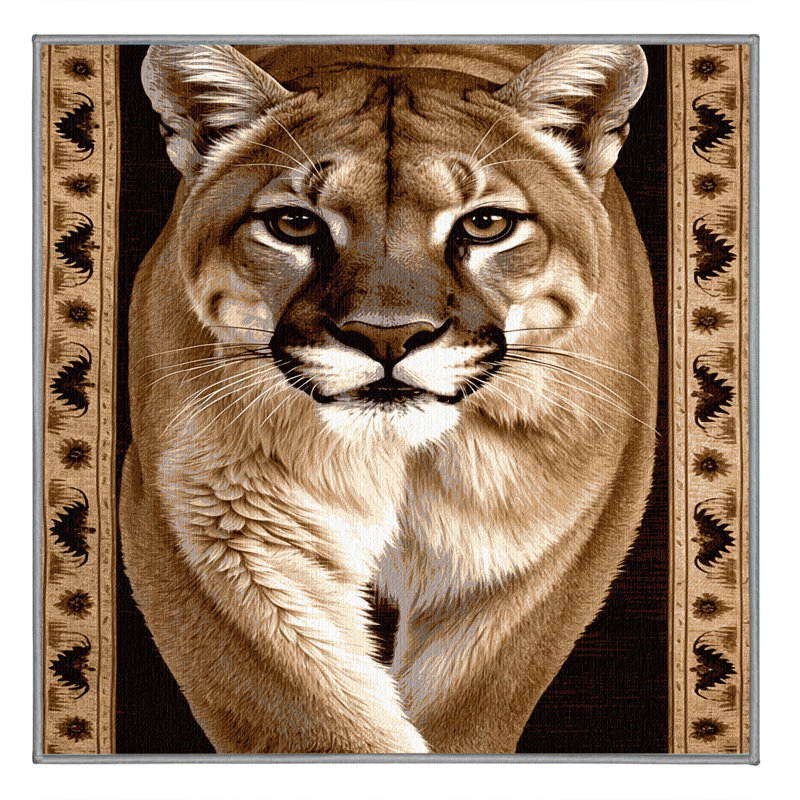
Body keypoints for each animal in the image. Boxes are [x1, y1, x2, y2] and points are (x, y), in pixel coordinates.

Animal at [118, 43, 658, 754]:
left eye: (486, 224)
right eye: (295, 223)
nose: (388, 336)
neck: (402, 457)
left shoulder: (548, 537)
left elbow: (469, 701)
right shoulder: (204, 520)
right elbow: (303, 709)